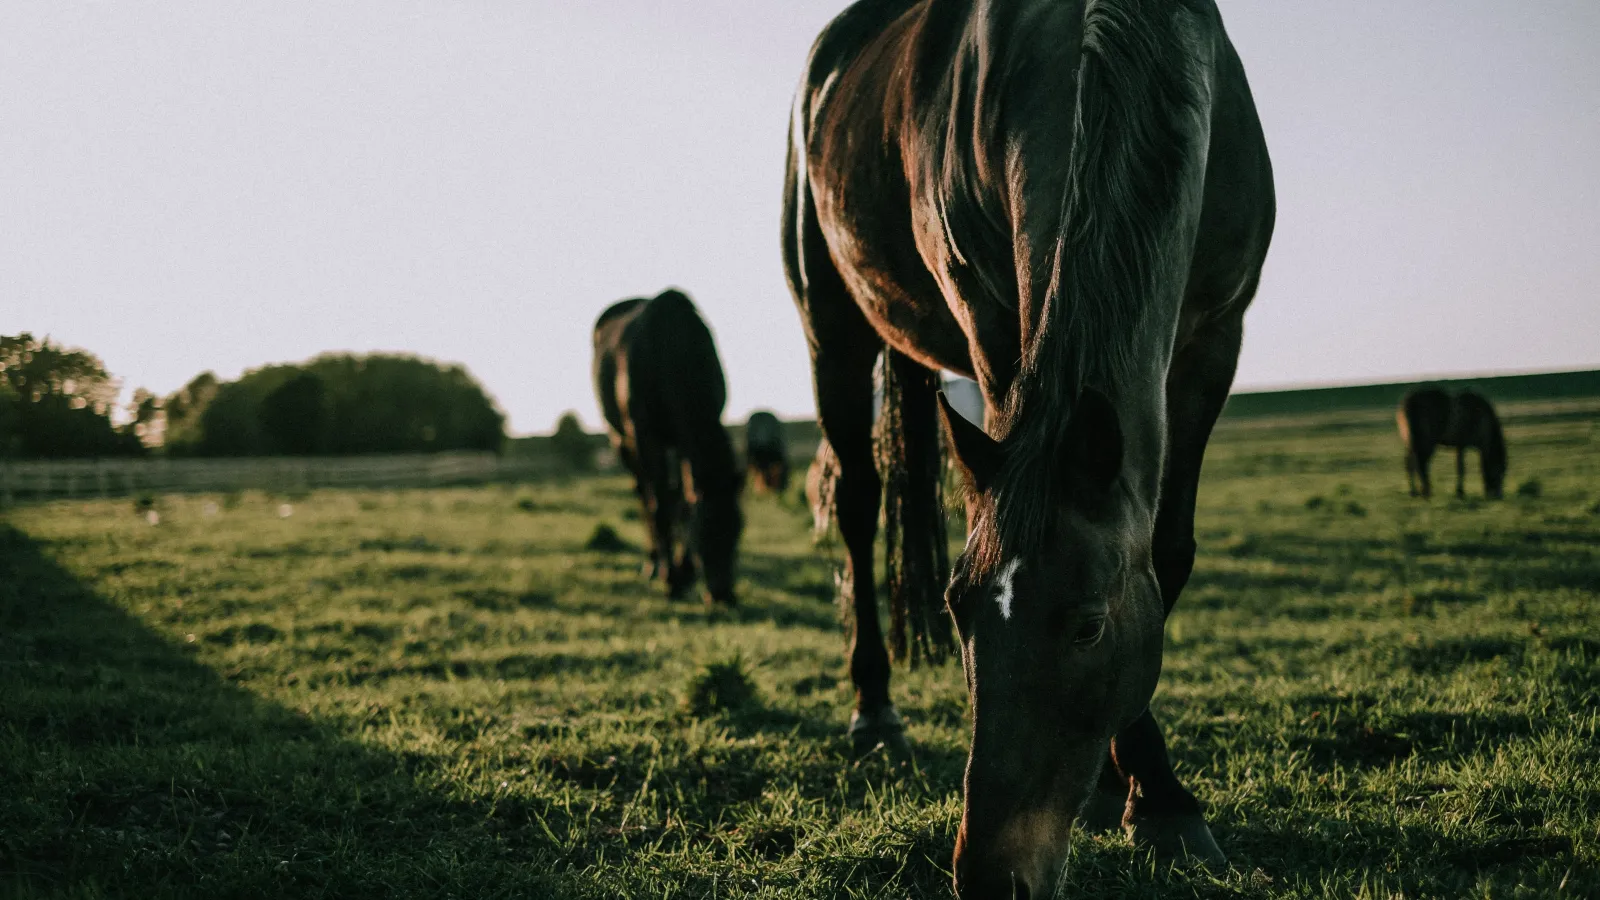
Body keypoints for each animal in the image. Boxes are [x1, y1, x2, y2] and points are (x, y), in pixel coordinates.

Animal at [595, 291, 742, 605]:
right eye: (702, 533)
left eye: (738, 529)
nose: (722, 595)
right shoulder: (646, 436)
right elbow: (660, 505)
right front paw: (671, 578)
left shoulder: (684, 440)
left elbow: (684, 502)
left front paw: (683, 572)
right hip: (623, 441)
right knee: (645, 495)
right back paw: (653, 563)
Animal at [784, 0, 1273, 890]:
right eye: (958, 608)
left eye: (1087, 626)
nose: (989, 877)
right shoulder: (993, 319)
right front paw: (1153, 796)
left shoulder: (1215, 338)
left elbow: (1167, 550)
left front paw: (1144, 790)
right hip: (831, 331)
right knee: (859, 507)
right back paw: (874, 713)